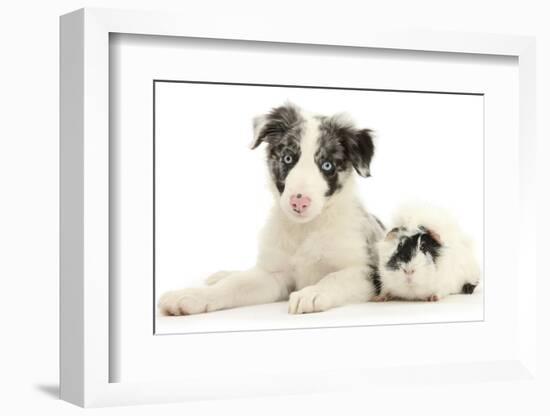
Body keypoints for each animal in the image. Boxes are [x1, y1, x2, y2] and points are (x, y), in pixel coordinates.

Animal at [158, 102, 388, 314]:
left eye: (327, 165)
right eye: (288, 158)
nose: (299, 202)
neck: (305, 229)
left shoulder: (366, 272)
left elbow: (335, 278)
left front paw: (311, 293)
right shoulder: (273, 275)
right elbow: (235, 285)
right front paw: (193, 295)